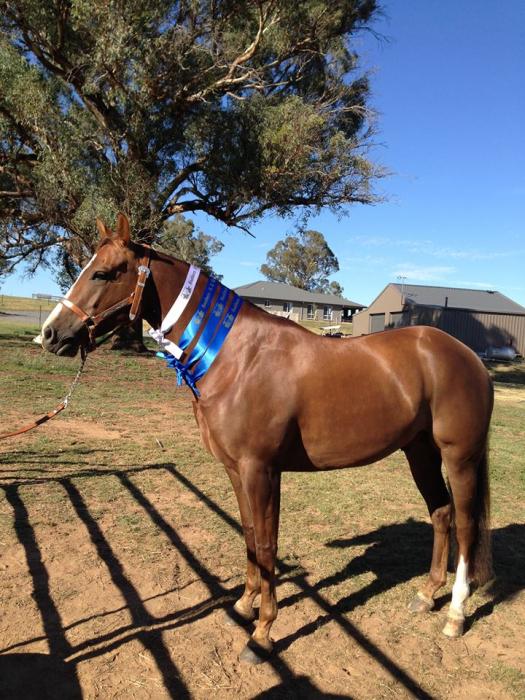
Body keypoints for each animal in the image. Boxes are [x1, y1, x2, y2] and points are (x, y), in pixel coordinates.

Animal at [41, 213, 493, 664]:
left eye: (103, 272)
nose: (50, 333)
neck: (236, 358)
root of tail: (465, 354)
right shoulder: (236, 471)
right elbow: (249, 538)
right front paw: (243, 607)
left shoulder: (262, 471)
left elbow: (267, 544)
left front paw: (262, 634)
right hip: (419, 452)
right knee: (441, 513)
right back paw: (427, 594)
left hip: (460, 457)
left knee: (467, 524)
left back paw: (455, 614)